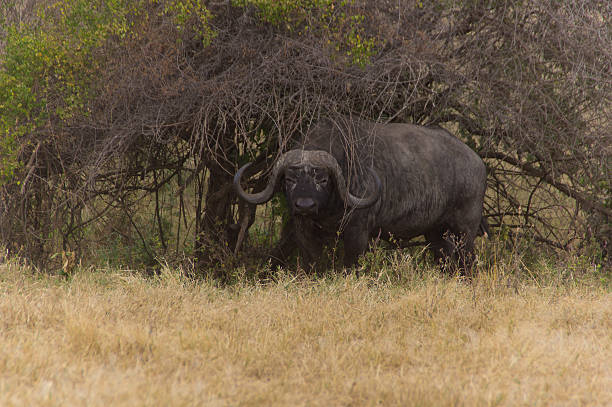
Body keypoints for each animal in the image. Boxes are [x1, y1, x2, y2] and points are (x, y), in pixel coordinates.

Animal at [233, 116, 488, 272]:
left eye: (323, 179)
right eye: (289, 179)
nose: (304, 205)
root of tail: (477, 161)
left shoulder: (358, 232)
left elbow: (351, 266)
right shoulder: (304, 230)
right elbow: (311, 263)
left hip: (465, 232)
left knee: (468, 263)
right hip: (436, 233)